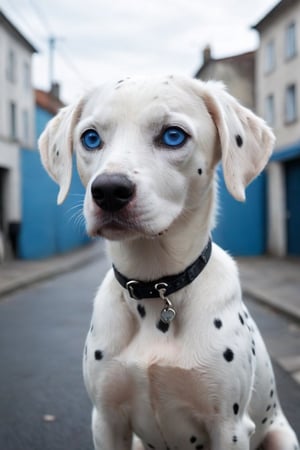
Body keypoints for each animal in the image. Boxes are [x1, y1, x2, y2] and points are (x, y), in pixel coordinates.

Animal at [38, 76, 298, 450]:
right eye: (90, 138)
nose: (109, 191)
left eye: (173, 135)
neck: (155, 286)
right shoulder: (106, 421)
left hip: (280, 436)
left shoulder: (229, 427)